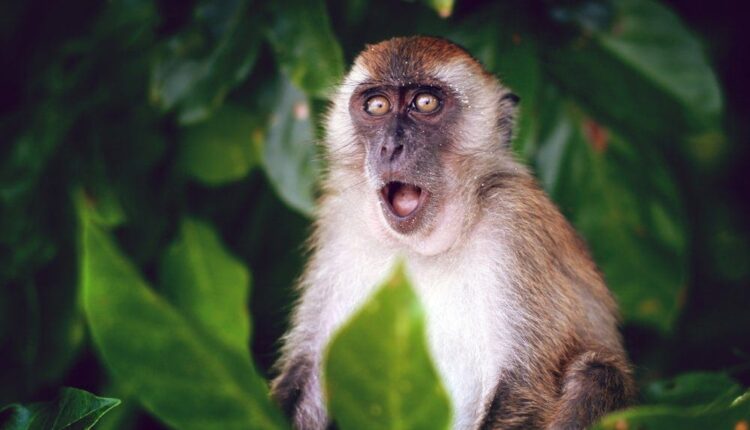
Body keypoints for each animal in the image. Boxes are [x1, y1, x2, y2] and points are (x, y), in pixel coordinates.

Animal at [271, 36, 635, 430]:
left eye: (425, 103)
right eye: (377, 105)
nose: (390, 146)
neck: (420, 247)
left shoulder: (514, 225)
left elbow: (524, 385)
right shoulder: (340, 223)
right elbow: (309, 375)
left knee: (597, 374)